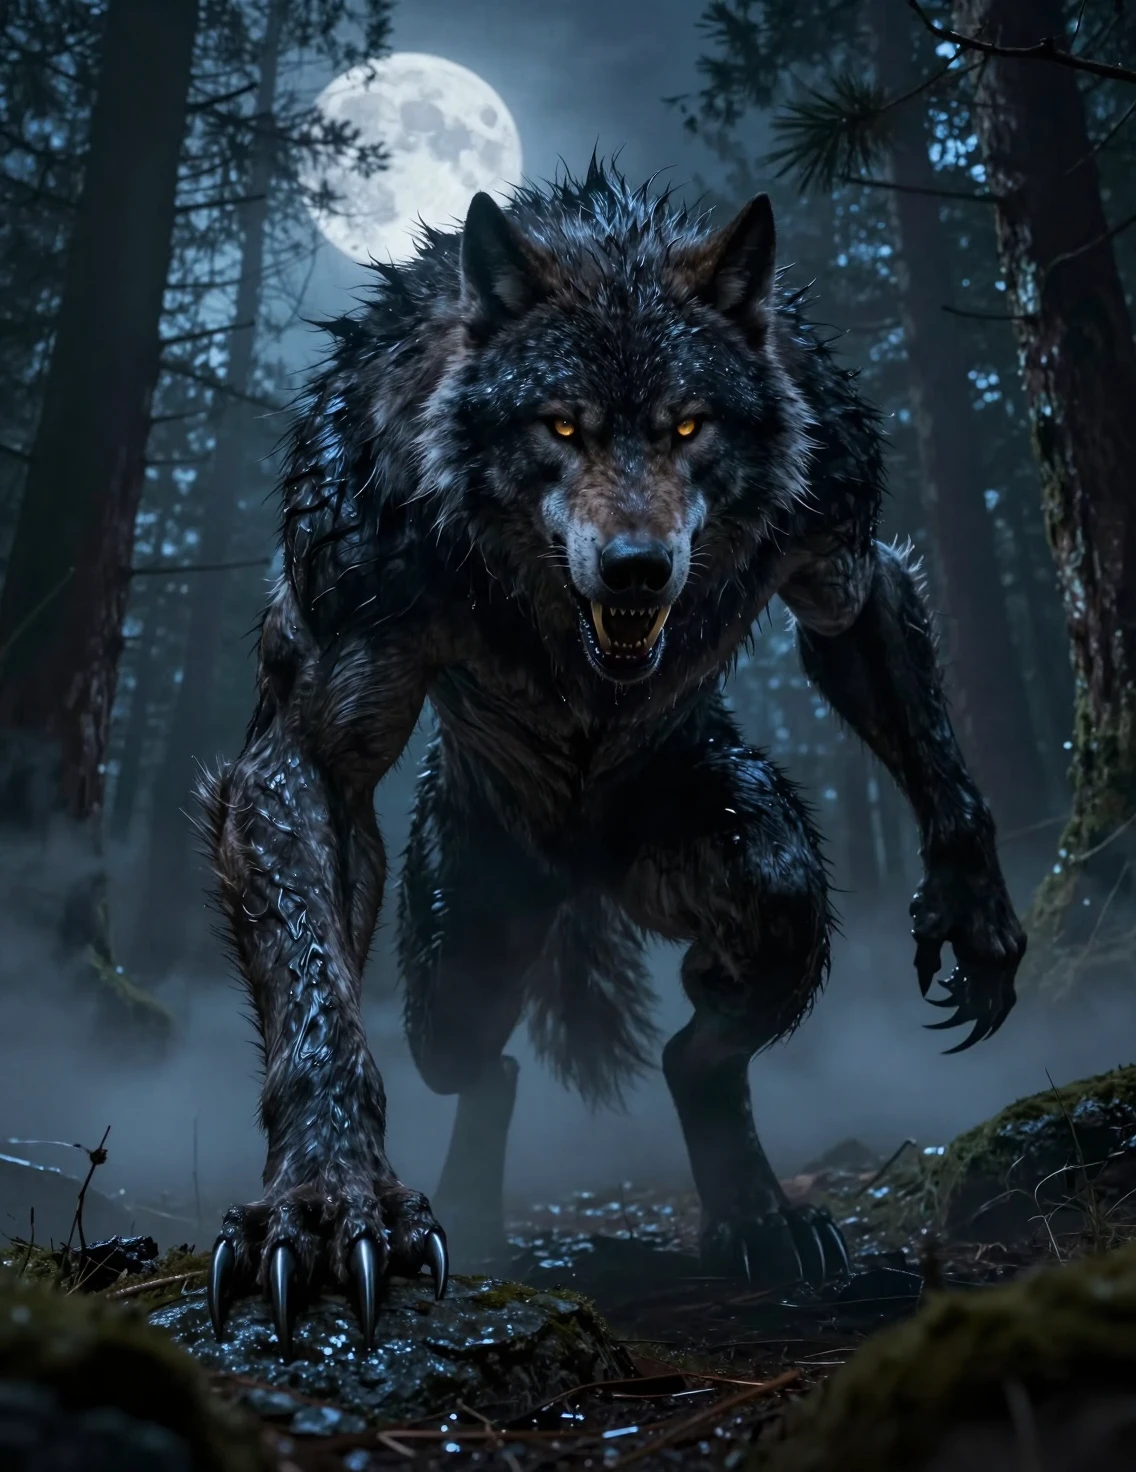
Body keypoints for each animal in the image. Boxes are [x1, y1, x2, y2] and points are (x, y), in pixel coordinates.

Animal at [202, 160, 1025, 1355]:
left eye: (688, 425)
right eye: (560, 426)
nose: (637, 569)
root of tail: (575, 878)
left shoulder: (834, 518)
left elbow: (861, 621)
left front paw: (972, 898)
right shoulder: (339, 622)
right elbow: (323, 1011)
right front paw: (326, 1199)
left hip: (722, 855)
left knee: (708, 1026)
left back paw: (757, 1219)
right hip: (460, 960)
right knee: (483, 1063)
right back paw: (483, 1212)